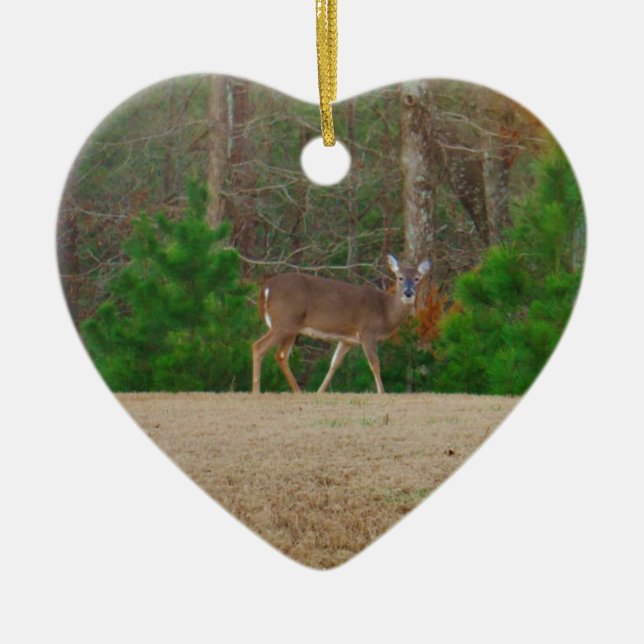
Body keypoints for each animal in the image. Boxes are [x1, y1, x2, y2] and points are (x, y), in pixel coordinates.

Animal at [251, 254, 431, 394]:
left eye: (417, 278)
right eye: (400, 278)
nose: (408, 292)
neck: (384, 312)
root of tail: (265, 289)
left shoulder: (347, 339)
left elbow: (334, 364)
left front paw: (319, 392)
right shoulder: (368, 332)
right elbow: (375, 364)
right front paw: (382, 392)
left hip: (292, 328)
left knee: (281, 355)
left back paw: (298, 392)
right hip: (284, 322)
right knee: (258, 346)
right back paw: (256, 390)